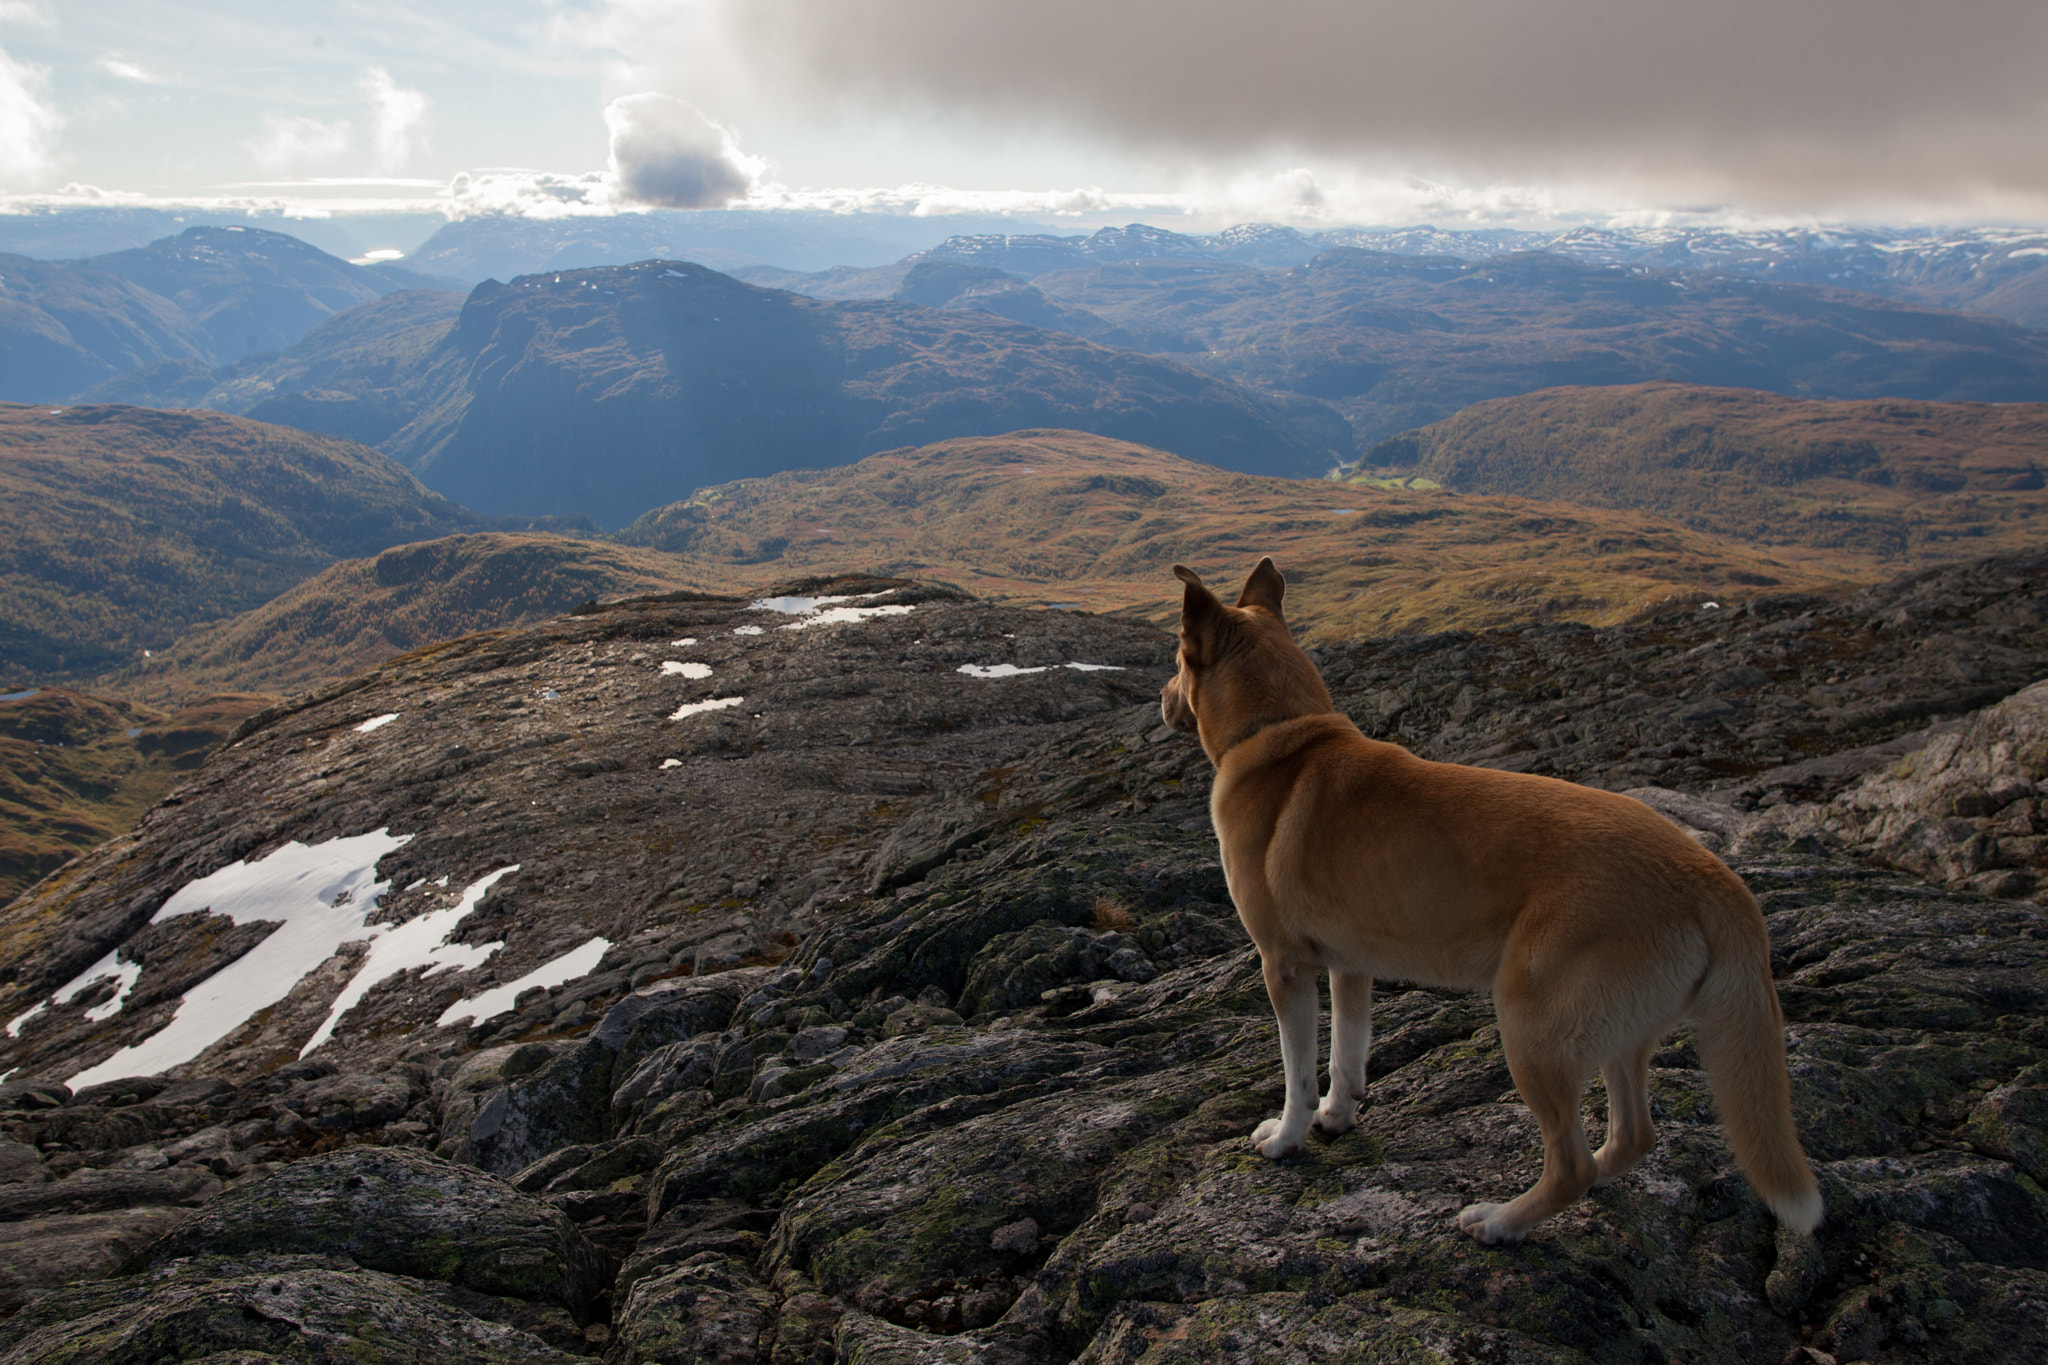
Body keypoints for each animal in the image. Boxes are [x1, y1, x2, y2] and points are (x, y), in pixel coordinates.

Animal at [1163, 560, 1818, 1244]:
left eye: (1176, 661)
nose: (1161, 699)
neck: (1279, 733)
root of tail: (1713, 877)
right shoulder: (1351, 964)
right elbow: (1347, 1053)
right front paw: (1336, 1118)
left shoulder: (1285, 964)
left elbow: (1298, 1069)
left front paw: (1287, 1137)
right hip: (1617, 1028)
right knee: (1633, 1135)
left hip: (1532, 1022)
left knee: (1572, 1163)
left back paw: (1501, 1221)